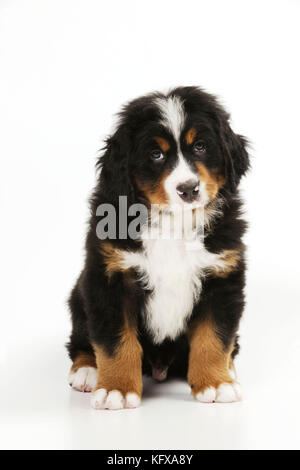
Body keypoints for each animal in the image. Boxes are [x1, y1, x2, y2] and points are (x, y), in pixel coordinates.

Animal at [67, 86, 250, 410]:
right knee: (80, 341)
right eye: (156, 154)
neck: (173, 224)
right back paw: (87, 370)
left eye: (201, 146)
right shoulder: (110, 280)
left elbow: (214, 336)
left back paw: (229, 369)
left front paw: (215, 383)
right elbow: (115, 341)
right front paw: (116, 388)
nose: (188, 189)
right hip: (79, 294)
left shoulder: (222, 277)